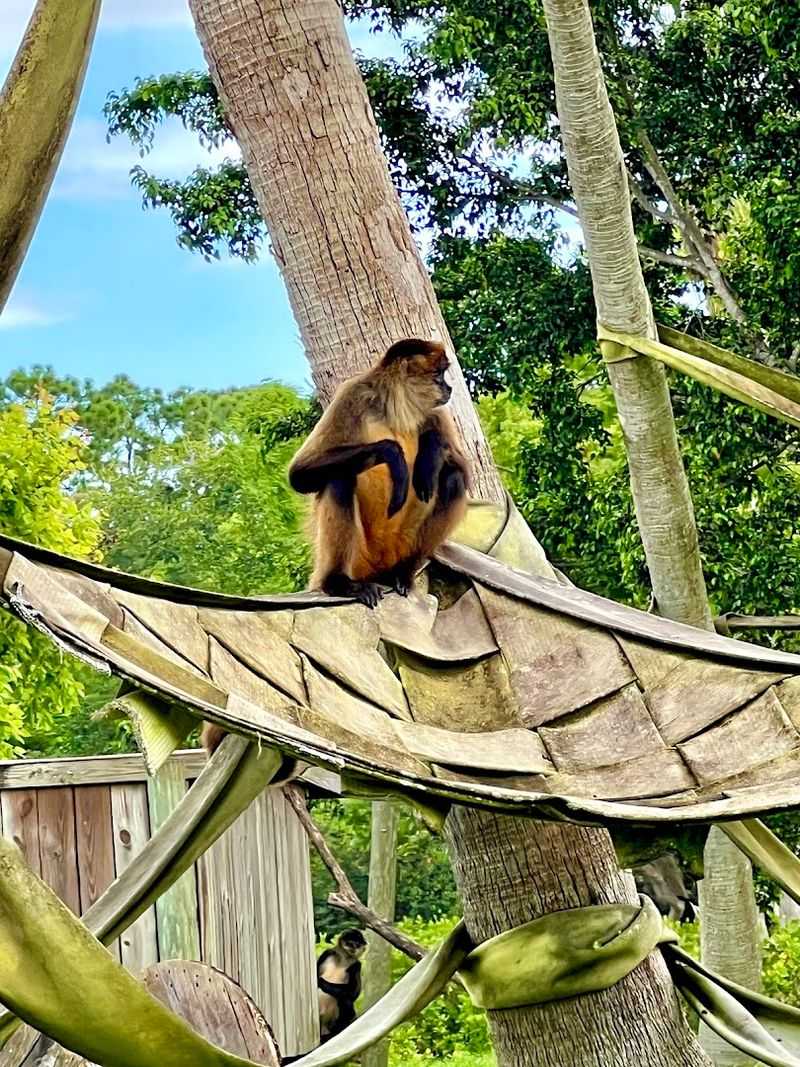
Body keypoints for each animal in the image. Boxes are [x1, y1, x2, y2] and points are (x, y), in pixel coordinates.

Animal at [288, 338, 471, 608]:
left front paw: (431, 449)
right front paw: (393, 454)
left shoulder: (435, 412)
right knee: (340, 478)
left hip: (401, 545)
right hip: (359, 558)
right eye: (439, 375)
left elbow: (465, 473)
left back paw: (402, 573)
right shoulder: (353, 393)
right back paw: (339, 583)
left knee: (453, 478)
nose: (449, 388)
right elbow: (299, 476)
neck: (397, 412)